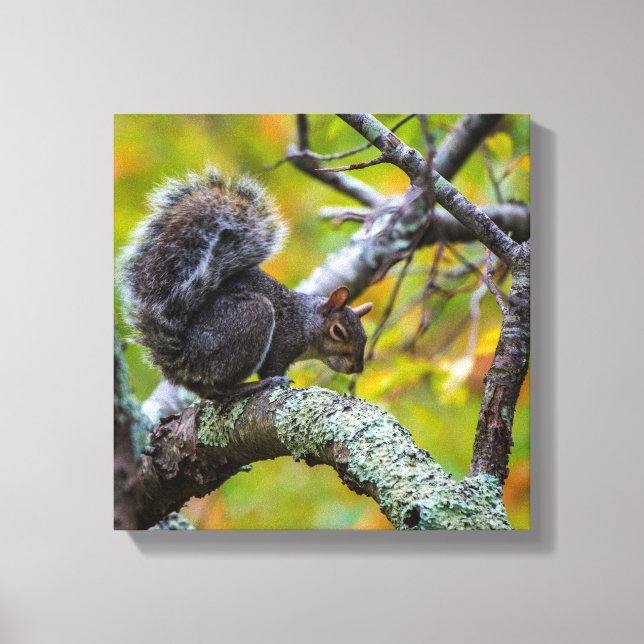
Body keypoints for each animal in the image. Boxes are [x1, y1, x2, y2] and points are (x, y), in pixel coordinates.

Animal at [120, 167, 373, 397]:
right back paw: (254, 386)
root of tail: (181, 359)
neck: (306, 321)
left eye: (364, 337)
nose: (356, 367)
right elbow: (272, 367)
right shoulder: (282, 345)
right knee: (221, 389)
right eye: (338, 331)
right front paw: (275, 380)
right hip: (251, 318)